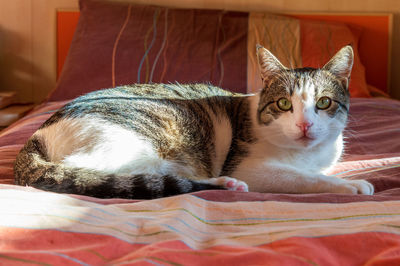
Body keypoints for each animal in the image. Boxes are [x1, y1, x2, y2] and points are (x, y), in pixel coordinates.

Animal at [13, 44, 376, 198]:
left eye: (324, 103)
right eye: (284, 104)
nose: (305, 126)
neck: (307, 154)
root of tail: (39, 133)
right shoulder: (250, 167)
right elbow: (304, 178)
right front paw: (351, 186)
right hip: (142, 139)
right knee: (93, 172)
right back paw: (222, 184)